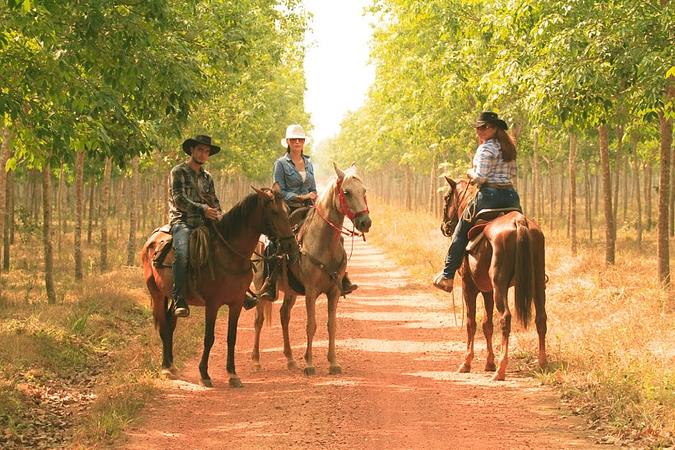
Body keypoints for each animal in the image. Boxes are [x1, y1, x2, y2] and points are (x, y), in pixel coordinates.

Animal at [141, 186, 298, 386]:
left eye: (287, 210)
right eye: (274, 212)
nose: (292, 245)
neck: (230, 255)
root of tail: (152, 239)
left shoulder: (236, 303)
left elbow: (232, 337)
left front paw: (232, 374)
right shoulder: (212, 304)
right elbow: (209, 338)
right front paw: (204, 374)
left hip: (173, 297)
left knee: (170, 324)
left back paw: (172, 365)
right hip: (157, 294)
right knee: (163, 326)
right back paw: (166, 368)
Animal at [251, 163, 372, 374]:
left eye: (363, 191)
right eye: (346, 192)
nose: (365, 222)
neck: (323, 243)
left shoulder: (334, 291)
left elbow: (331, 325)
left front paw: (333, 363)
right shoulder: (311, 291)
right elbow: (311, 325)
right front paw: (309, 364)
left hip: (290, 291)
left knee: (284, 316)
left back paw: (290, 360)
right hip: (259, 286)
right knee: (259, 319)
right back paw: (257, 361)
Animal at [444, 178, 548, 382]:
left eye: (446, 198)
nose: (445, 226)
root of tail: (519, 222)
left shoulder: (470, 286)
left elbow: (472, 323)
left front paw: (467, 363)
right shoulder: (488, 290)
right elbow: (487, 324)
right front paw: (489, 362)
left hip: (499, 286)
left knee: (505, 318)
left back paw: (501, 369)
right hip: (538, 282)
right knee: (541, 317)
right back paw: (542, 363)